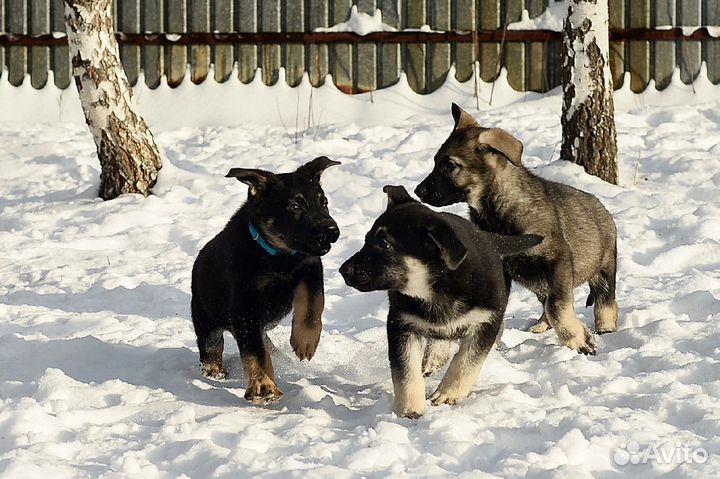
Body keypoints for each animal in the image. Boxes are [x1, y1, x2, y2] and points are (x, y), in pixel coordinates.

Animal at [190, 157, 338, 402]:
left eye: (324, 202)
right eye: (294, 207)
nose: (332, 231)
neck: (277, 256)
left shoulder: (311, 266)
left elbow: (314, 302)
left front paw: (305, 340)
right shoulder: (244, 306)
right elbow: (254, 351)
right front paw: (263, 385)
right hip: (206, 318)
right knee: (211, 349)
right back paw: (214, 373)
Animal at [340, 186, 544, 418]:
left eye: (385, 244)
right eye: (366, 240)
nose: (343, 271)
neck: (438, 289)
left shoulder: (486, 322)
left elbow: (467, 361)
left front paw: (447, 395)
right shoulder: (401, 325)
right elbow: (406, 371)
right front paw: (409, 409)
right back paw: (433, 358)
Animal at [416, 104, 620, 356]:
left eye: (450, 165)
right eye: (436, 161)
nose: (418, 191)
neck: (497, 212)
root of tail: (602, 207)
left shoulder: (558, 263)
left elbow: (558, 308)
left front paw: (579, 340)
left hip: (604, 270)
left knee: (605, 301)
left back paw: (605, 328)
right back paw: (540, 325)